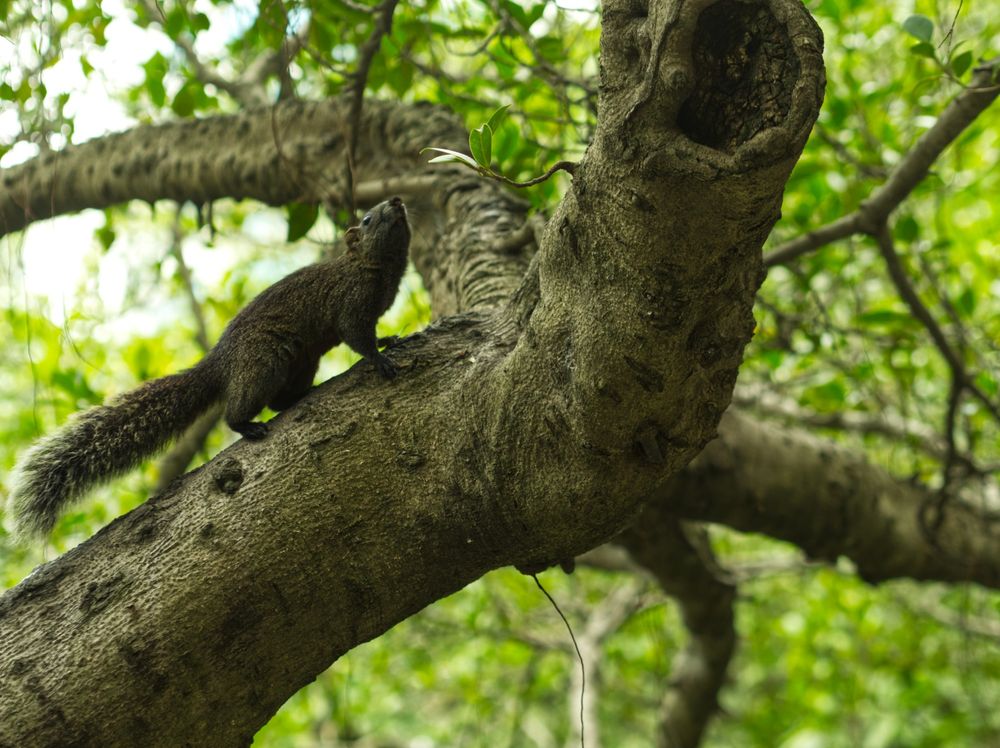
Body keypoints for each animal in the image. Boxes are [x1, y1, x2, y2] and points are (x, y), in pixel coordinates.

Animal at [10, 196, 410, 539]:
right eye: (367, 219)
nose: (396, 200)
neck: (378, 268)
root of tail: (220, 360)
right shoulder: (351, 302)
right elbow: (356, 336)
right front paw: (380, 359)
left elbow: (373, 334)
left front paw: (390, 340)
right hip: (263, 362)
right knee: (238, 409)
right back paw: (248, 425)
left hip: (302, 363)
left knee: (280, 399)